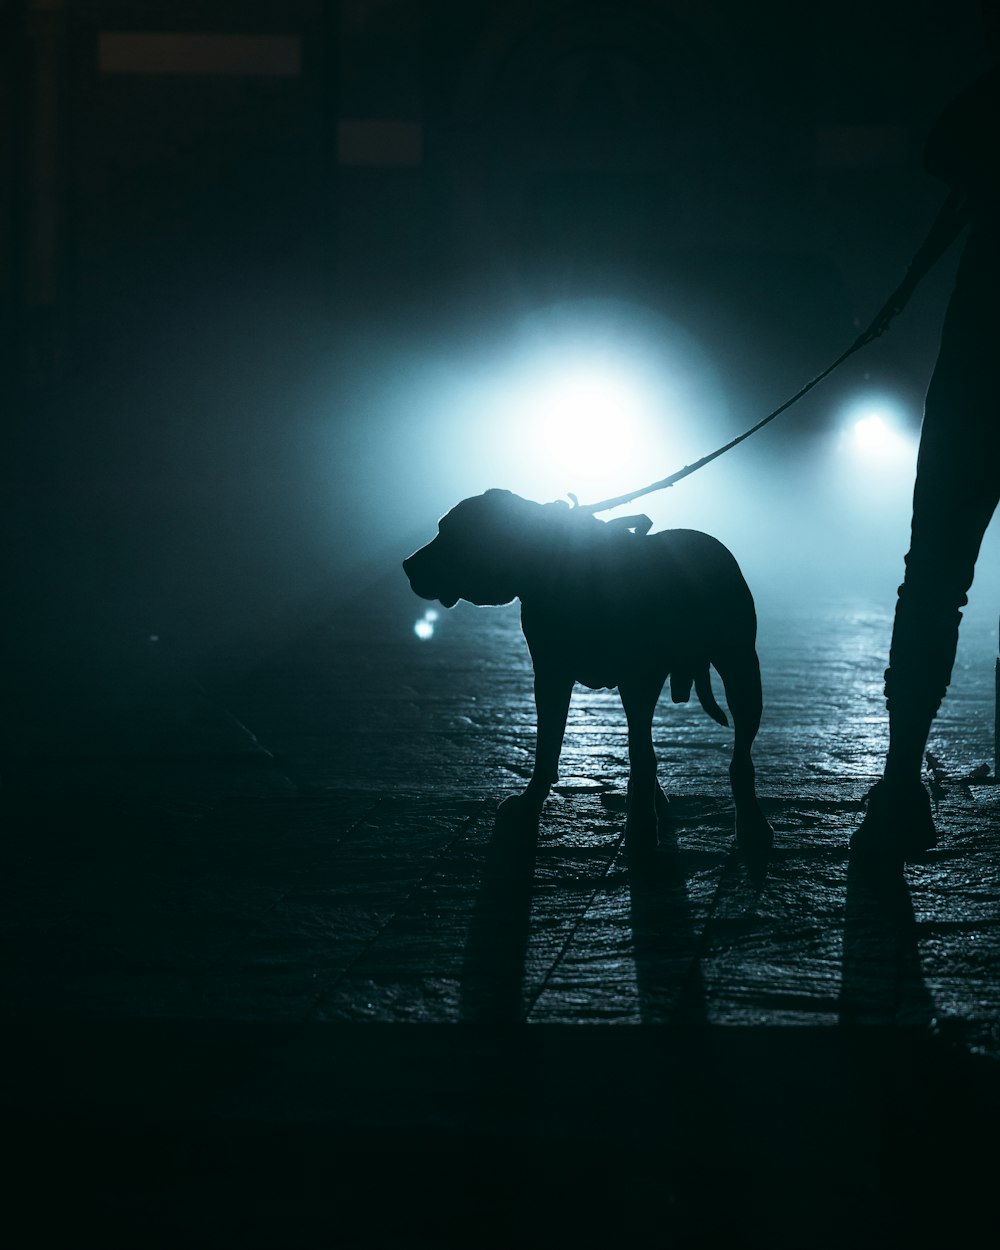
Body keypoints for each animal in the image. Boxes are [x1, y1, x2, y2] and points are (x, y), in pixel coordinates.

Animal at [405, 492, 775, 855]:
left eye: (451, 532)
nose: (407, 565)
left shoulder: (637, 679)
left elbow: (641, 753)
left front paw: (641, 824)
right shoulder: (552, 675)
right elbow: (548, 745)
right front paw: (529, 804)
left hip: (741, 670)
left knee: (738, 755)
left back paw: (751, 821)